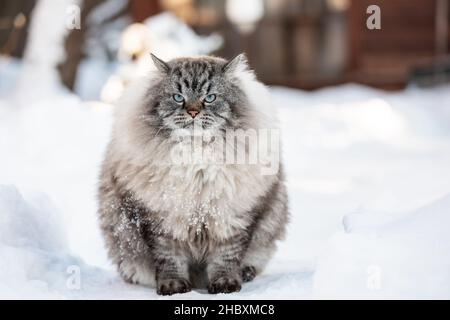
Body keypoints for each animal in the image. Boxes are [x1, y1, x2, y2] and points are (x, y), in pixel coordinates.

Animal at [98, 53, 288, 296]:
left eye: (210, 97)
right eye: (178, 97)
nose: (193, 112)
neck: (196, 156)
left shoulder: (232, 217)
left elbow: (226, 258)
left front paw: (225, 286)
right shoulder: (160, 221)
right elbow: (169, 260)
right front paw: (174, 288)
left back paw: (245, 274)